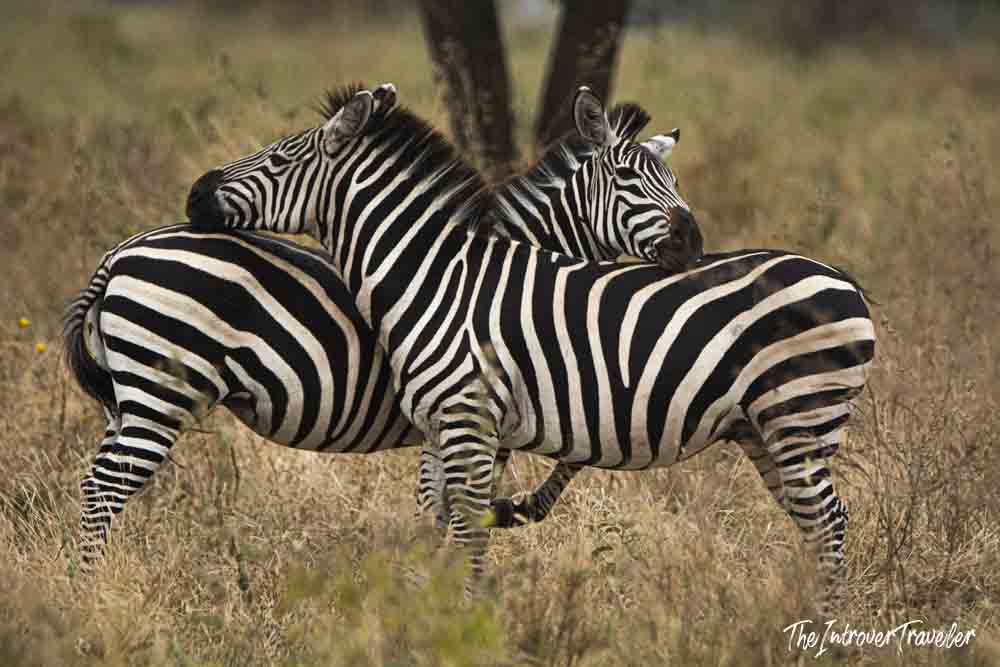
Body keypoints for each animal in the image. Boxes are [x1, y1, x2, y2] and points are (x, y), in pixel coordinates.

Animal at [66, 84, 701, 563]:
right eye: (628, 180)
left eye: (672, 184)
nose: (694, 243)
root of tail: (119, 252)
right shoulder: (481, 408)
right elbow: (455, 504)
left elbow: (558, 462)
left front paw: (504, 517)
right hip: (161, 390)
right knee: (107, 487)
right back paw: (91, 586)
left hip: (131, 394)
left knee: (96, 480)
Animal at [187, 83, 876, 617]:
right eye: (630, 177)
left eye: (279, 157)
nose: (195, 193)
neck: (437, 278)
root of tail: (842, 277)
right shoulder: (444, 426)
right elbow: (434, 521)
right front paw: (424, 611)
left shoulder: (472, 423)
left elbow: (468, 530)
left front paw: (464, 620)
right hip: (765, 429)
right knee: (816, 524)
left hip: (798, 416)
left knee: (830, 522)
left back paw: (823, 634)